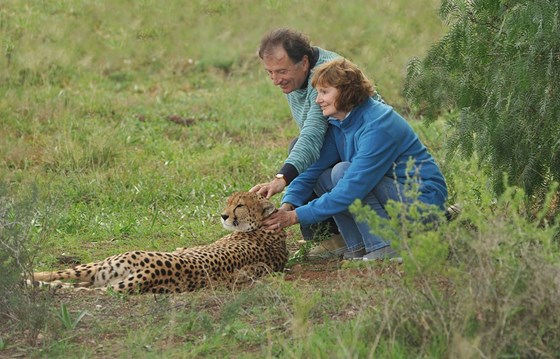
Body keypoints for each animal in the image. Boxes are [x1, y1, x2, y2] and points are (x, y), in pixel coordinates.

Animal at [29, 193, 288, 294]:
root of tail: (151, 272)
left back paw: (27, 277)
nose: (223, 216)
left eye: (240, 205)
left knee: (61, 277)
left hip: (106, 264)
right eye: (229, 201)